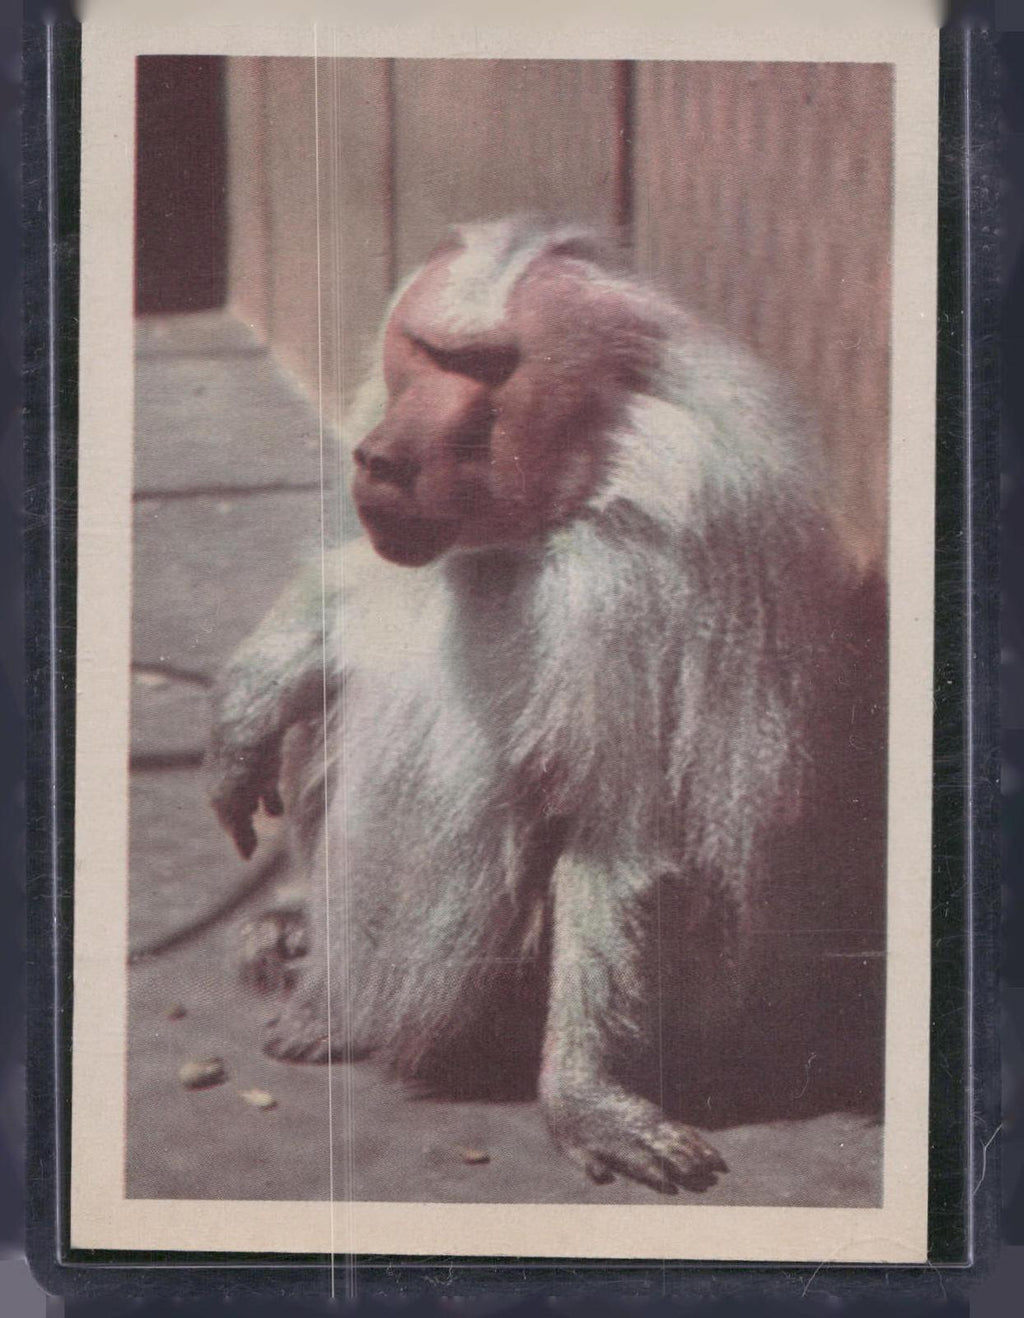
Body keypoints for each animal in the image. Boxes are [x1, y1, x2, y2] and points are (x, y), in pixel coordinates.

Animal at [207, 216, 884, 1194]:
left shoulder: (630, 589)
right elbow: (351, 597)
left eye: (484, 369)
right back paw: (298, 930)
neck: (577, 498)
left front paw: (582, 1098)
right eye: (424, 352)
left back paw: (332, 1007)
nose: (379, 458)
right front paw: (248, 705)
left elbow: (623, 840)